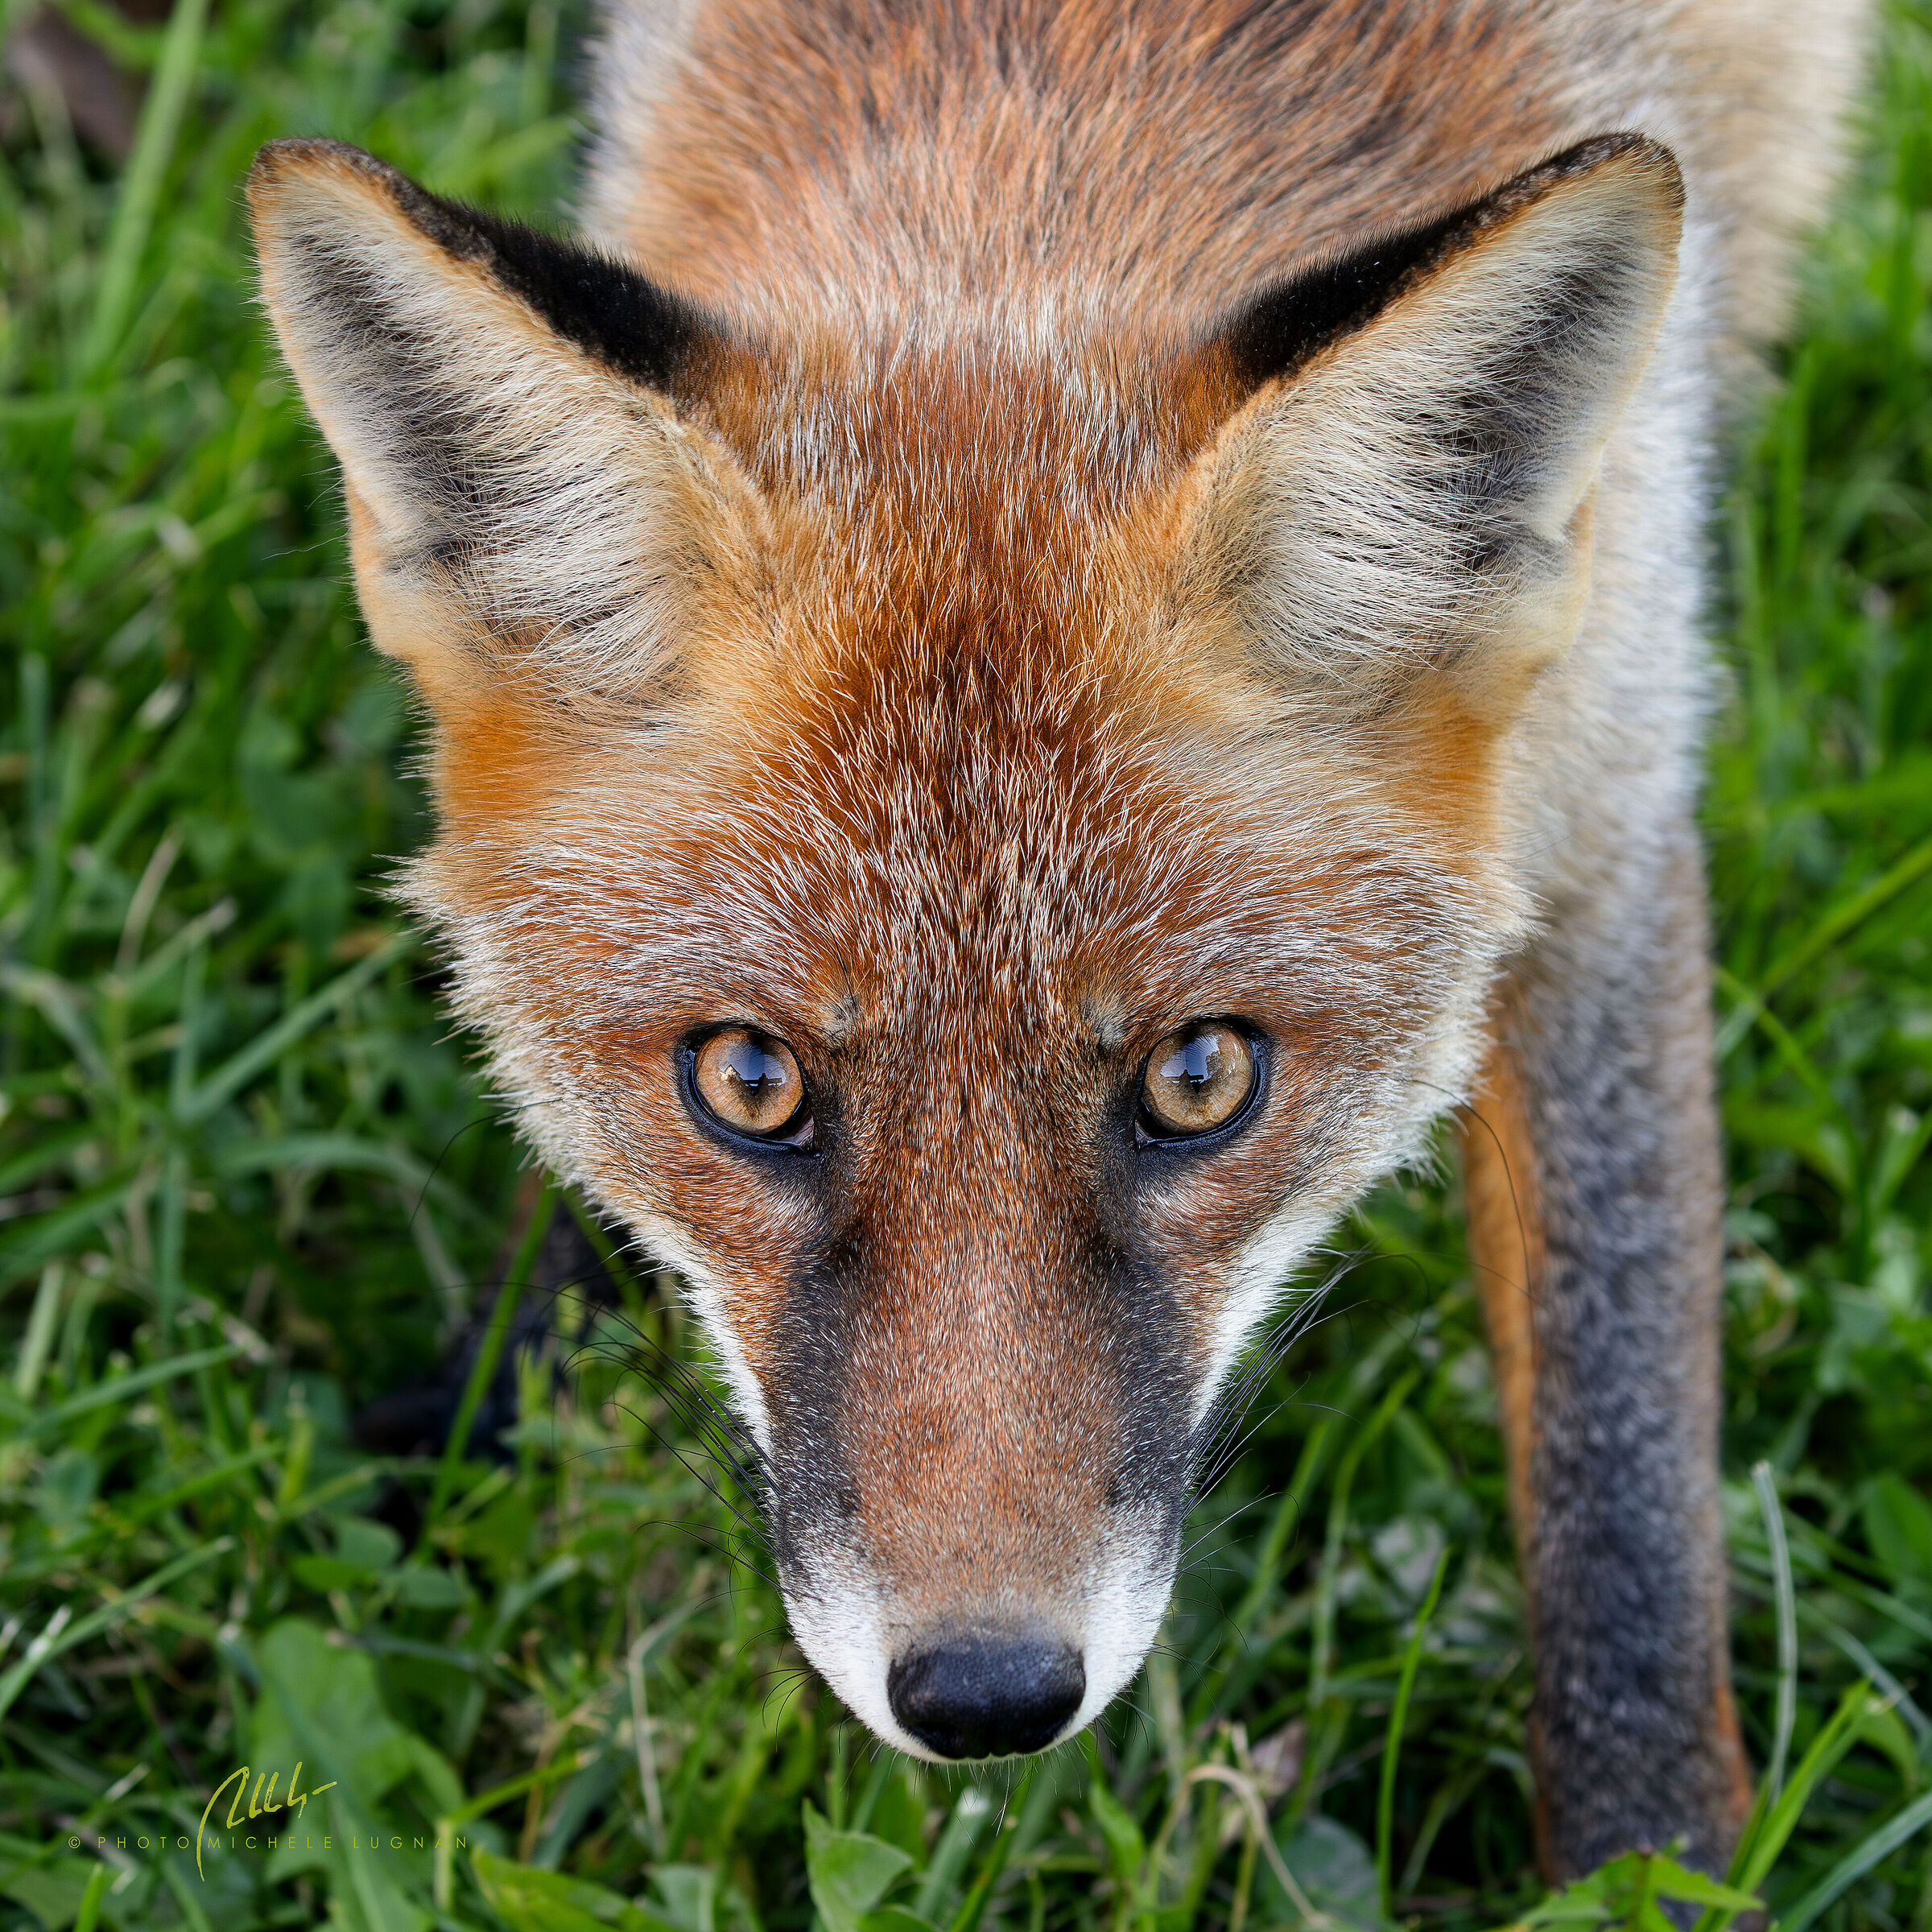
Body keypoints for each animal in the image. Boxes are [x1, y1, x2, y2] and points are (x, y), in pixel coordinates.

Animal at [247, 0, 1869, 1883]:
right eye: (746, 1083)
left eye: (1200, 1079)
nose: (986, 1695)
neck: (1056, 92)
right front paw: (491, 1405)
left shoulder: (1614, 792)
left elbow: (1623, 1454)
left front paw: (1649, 1872)